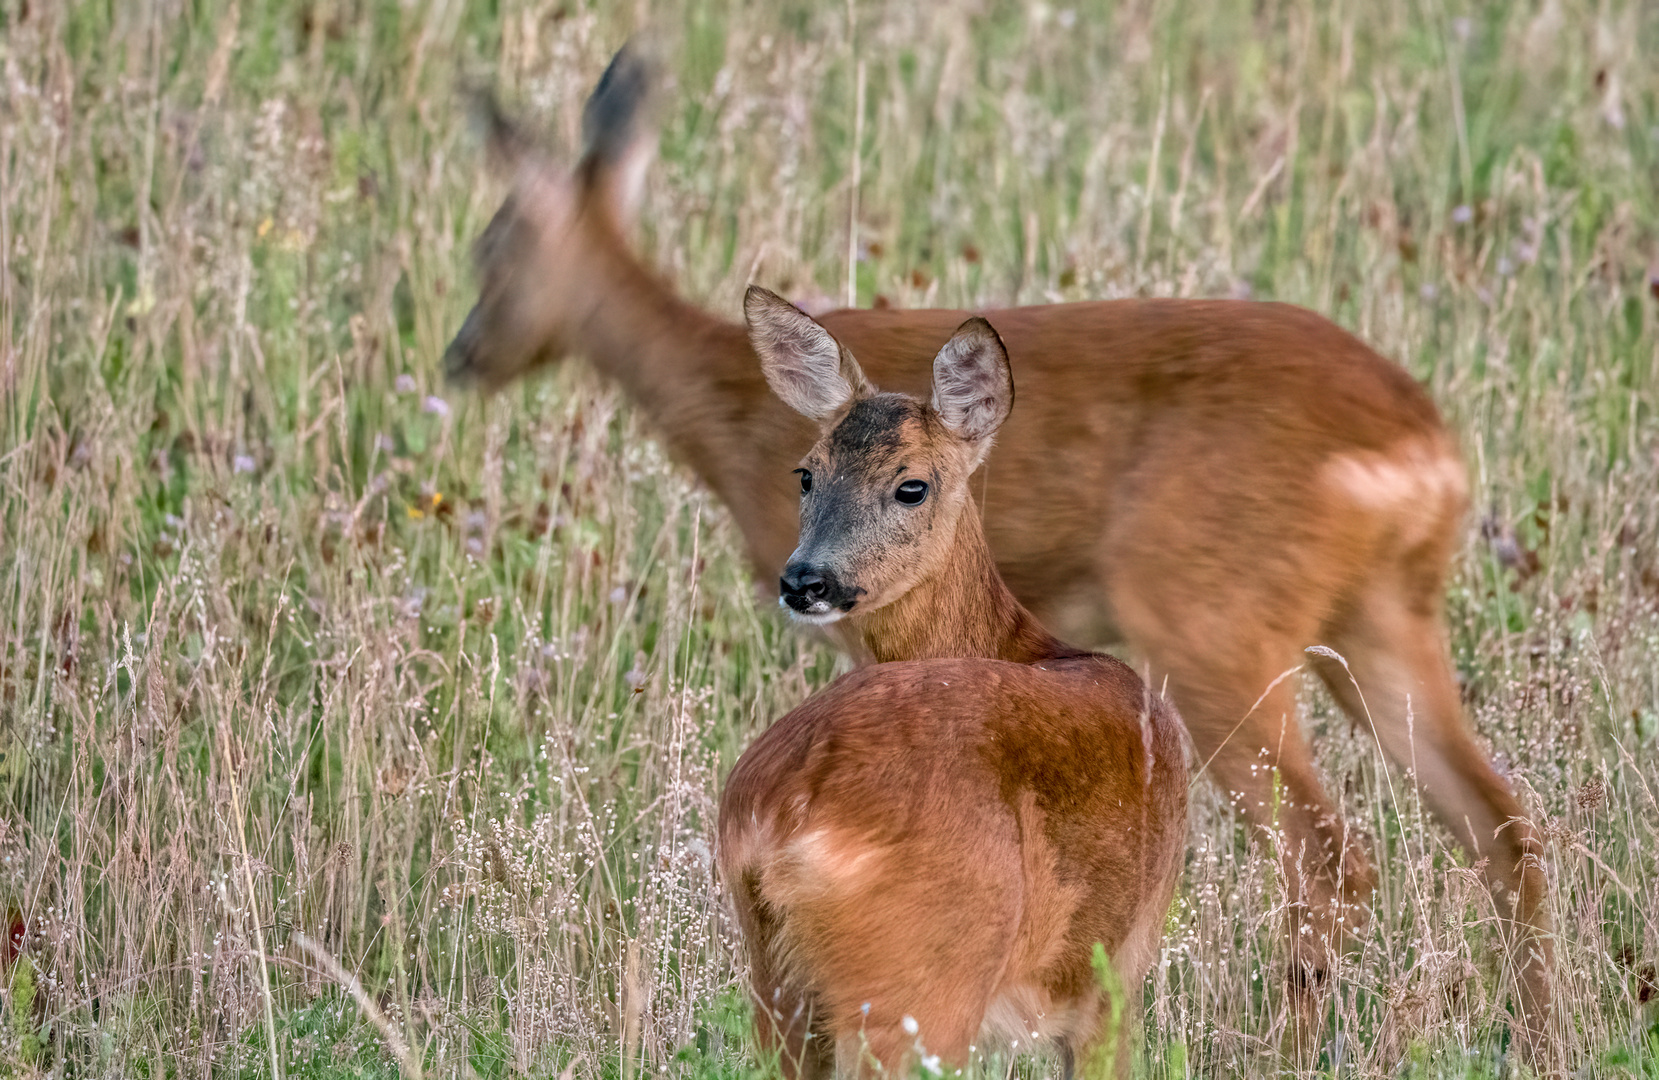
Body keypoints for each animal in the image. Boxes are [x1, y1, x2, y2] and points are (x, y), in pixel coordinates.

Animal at [720, 291, 1187, 1075]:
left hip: (777, 986)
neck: (1024, 643)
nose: (805, 580)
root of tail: (787, 814)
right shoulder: (1117, 971)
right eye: (807, 474)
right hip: (921, 988)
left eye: (912, 485)